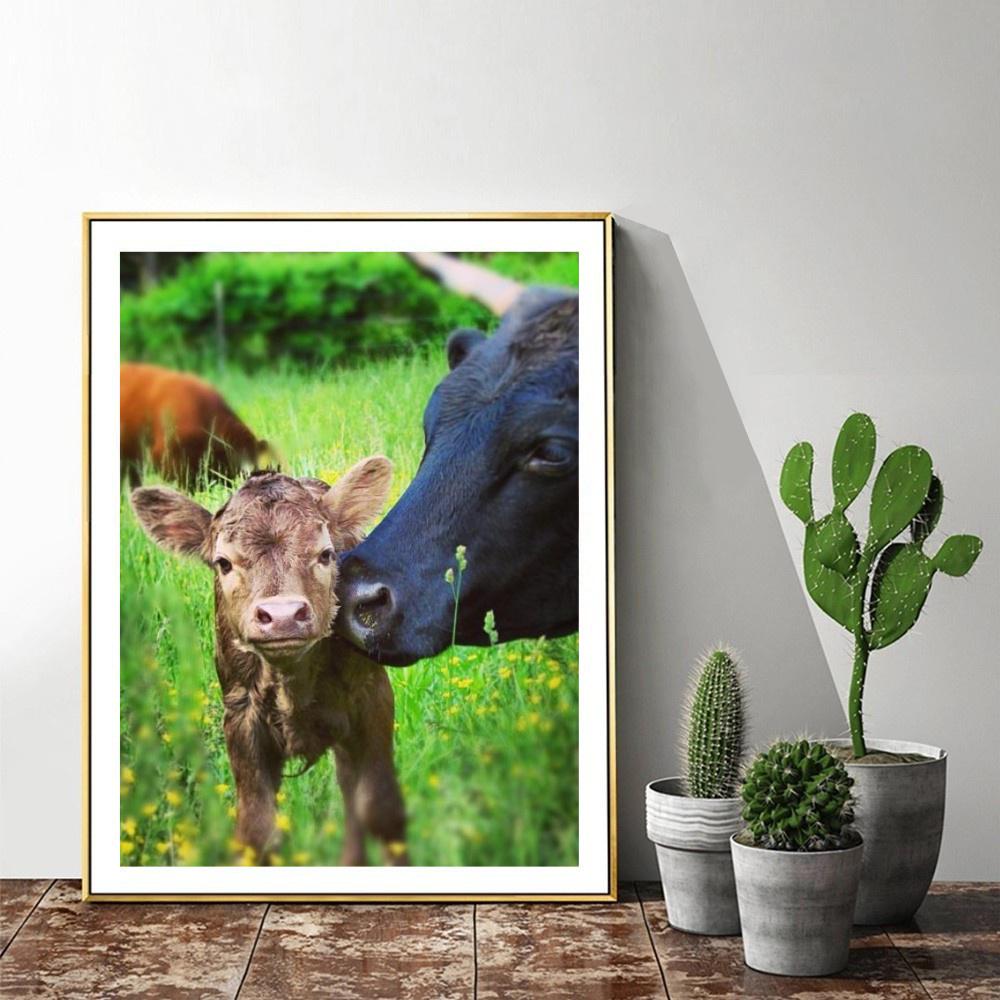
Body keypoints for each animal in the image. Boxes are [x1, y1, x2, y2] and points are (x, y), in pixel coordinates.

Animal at [130, 458, 408, 865]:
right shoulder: (240, 715)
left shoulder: (372, 698)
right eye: (223, 563)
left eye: (326, 554)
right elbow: (257, 831)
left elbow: (380, 808)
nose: (282, 615)